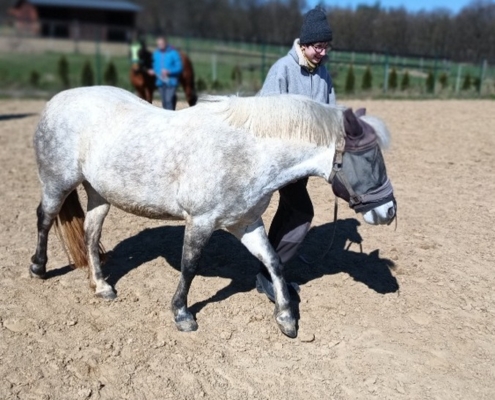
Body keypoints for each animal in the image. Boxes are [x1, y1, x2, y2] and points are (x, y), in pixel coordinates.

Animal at [30, 86, 396, 338]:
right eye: (369, 158)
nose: (389, 211)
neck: (247, 153)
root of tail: (55, 101)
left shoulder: (246, 223)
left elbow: (274, 262)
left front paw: (286, 317)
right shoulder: (201, 221)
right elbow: (189, 266)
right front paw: (181, 314)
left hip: (99, 193)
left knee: (91, 235)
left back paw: (102, 286)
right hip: (58, 183)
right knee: (44, 218)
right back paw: (38, 268)